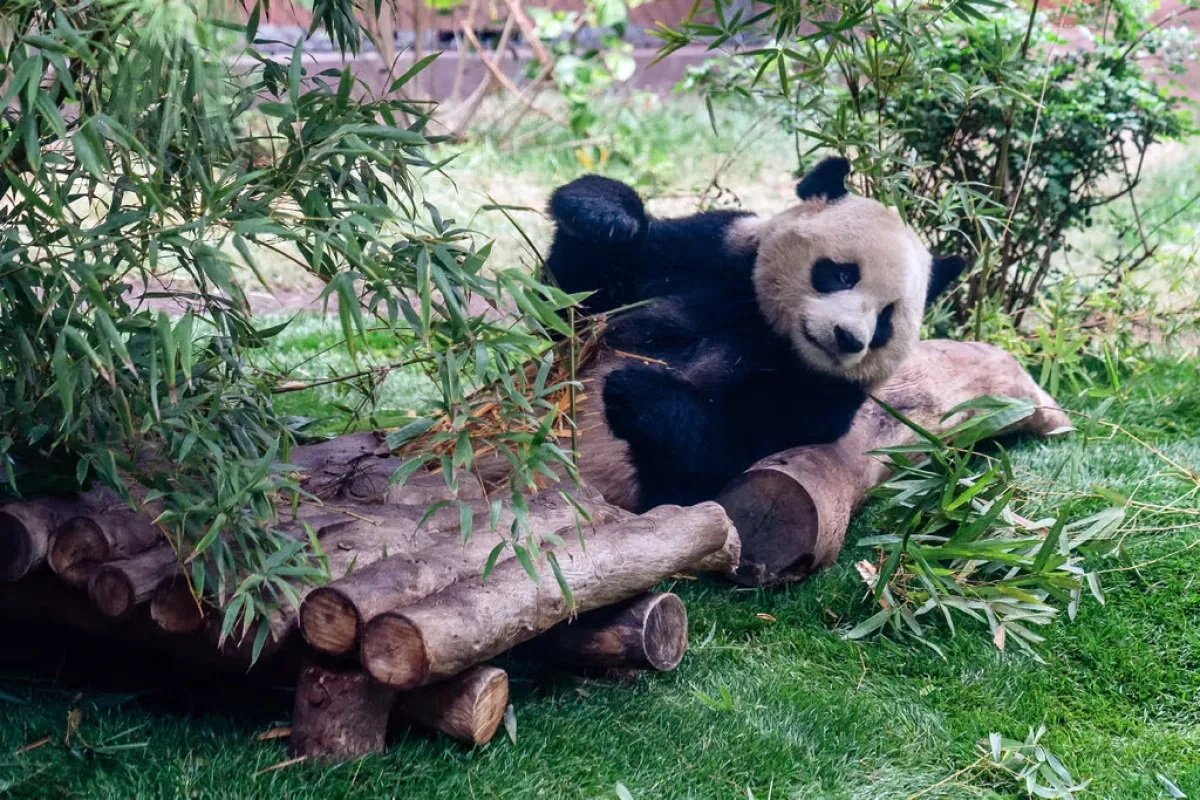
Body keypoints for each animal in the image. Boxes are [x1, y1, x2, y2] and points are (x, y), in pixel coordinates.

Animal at [544, 157, 967, 512]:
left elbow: (724, 451)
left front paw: (639, 391)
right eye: (844, 274)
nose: (848, 338)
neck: (769, 330)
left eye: (886, 319)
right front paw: (602, 213)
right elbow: (570, 303)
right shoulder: (708, 254)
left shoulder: (821, 398)